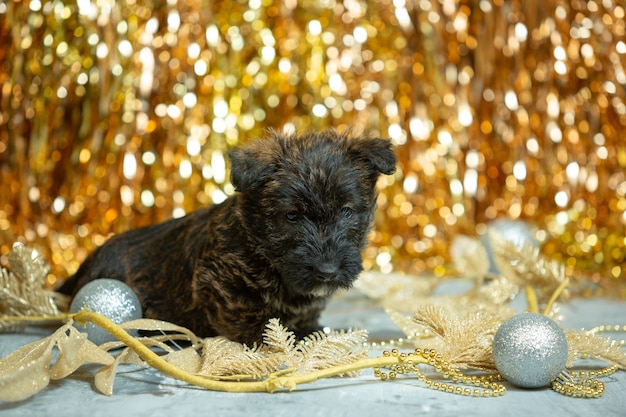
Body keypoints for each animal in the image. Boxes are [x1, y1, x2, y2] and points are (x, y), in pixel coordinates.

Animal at [63, 130, 394, 344]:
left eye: (347, 211)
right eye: (292, 216)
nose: (327, 270)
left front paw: (308, 329)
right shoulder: (218, 284)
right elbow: (249, 313)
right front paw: (274, 337)